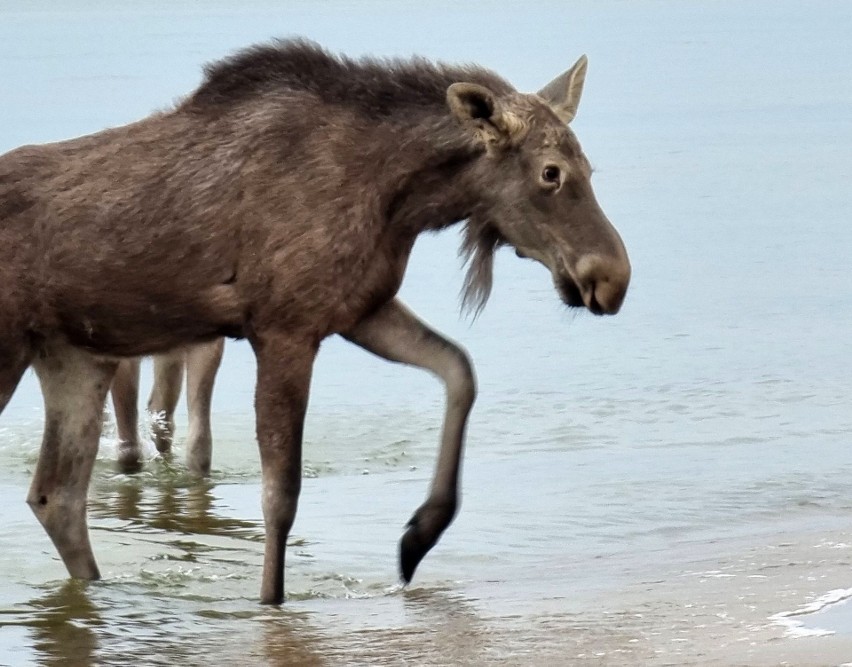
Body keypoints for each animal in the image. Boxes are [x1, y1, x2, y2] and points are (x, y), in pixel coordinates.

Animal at [0, 40, 628, 604]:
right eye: (551, 173)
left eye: (588, 167)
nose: (613, 276)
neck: (402, 199)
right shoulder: (286, 328)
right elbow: (280, 494)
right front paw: (271, 601)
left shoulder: (359, 309)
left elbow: (460, 370)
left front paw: (419, 535)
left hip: (74, 358)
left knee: (56, 496)